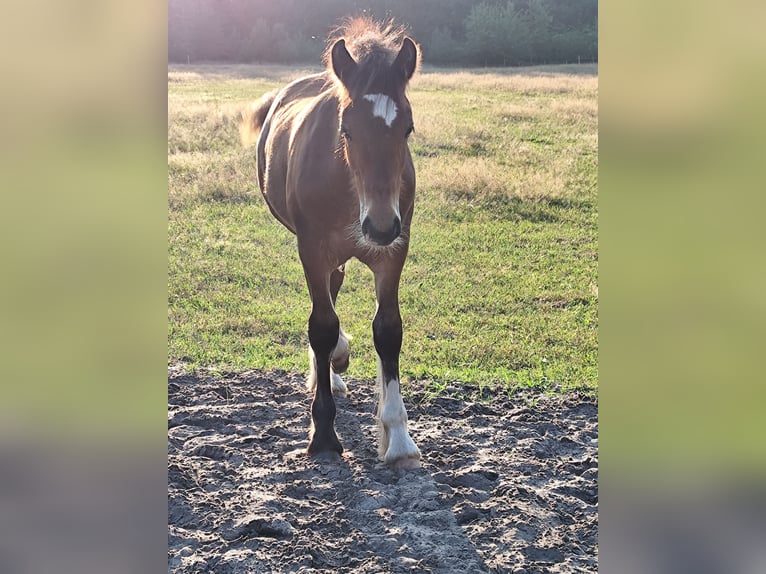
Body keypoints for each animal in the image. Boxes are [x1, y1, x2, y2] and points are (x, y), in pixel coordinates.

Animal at [240, 20, 424, 472]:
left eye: (407, 128)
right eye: (347, 130)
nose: (380, 225)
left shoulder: (393, 252)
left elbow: (388, 331)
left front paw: (398, 439)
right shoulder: (312, 249)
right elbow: (321, 327)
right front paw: (323, 435)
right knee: (326, 309)